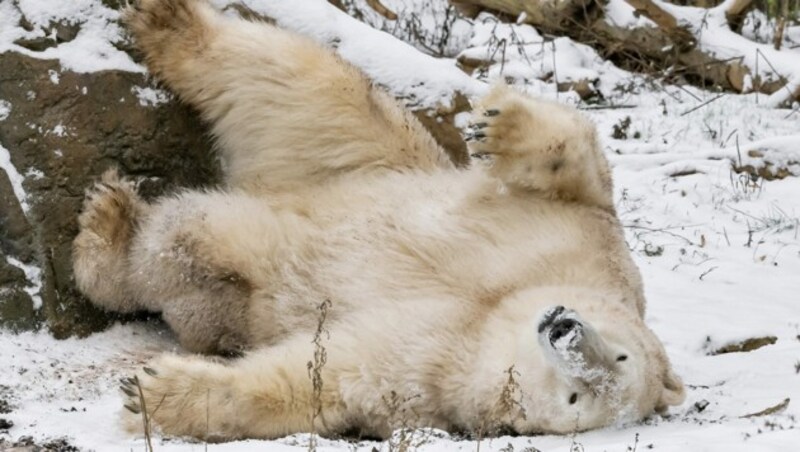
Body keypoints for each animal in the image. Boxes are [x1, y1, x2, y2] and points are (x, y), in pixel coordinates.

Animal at [70, 0, 688, 442]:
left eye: (577, 399)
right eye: (621, 352)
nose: (565, 329)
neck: (495, 313)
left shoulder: (434, 372)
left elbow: (318, 377)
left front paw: (156, 392)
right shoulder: (587, 247)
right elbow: (582, 168)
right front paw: (500, 125)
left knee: (201, 248)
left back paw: (112, 229)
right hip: (372, 161)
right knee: (306, 88)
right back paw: (170, 22)